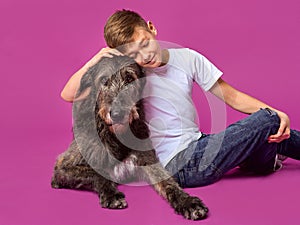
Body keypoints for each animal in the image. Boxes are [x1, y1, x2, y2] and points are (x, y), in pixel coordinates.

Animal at [51, 55, 209, 219]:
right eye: (103, 80)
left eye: (129, 79)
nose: (117, 114)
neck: (116, 135)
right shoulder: (62, 168)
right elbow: (96, 173)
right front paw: (112, 195)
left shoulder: (148, 160)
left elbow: (168, 183)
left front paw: (187, 201)